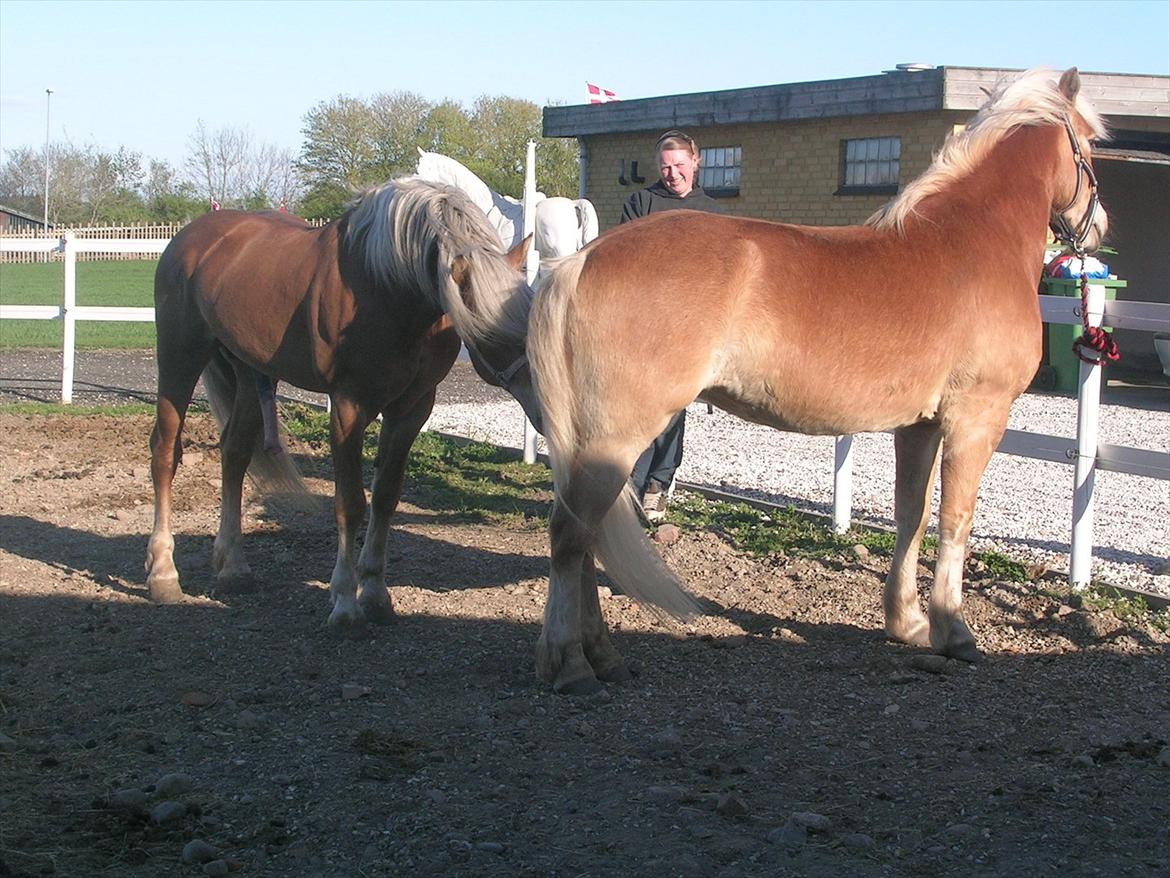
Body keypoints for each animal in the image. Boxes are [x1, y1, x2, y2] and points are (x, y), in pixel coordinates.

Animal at [142, 179, 538, 632]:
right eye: (493, 334)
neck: (389, 289)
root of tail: (192, 235)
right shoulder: (349, 407)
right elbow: (350, 503)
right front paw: (346, 603)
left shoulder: (412, 408)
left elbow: (385, 497)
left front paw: (377, 595)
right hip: (180, 356)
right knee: (165, 453)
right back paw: (163, 575)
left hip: (248, 370)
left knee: (235, 453)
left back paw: (234, 568)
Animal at [528, 67, 1104, 693]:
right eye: (1091, 145)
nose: (1098, 228)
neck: (970, 240)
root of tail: (581, 260)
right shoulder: (977, 418)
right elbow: (956, 521)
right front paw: (954, 632)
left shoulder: (920, 426)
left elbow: (911, 516)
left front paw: (907, 623)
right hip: (618, 434)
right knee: (572, 534)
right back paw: (571, 664)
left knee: (586, 537)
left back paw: (602, 655)